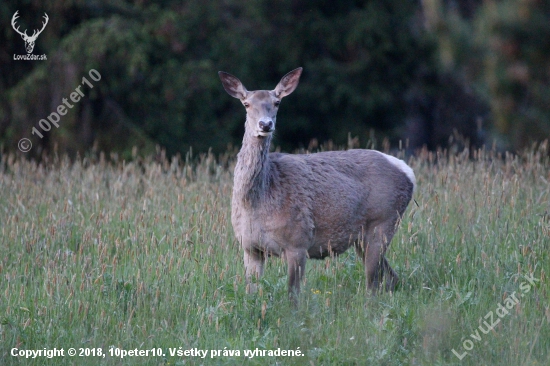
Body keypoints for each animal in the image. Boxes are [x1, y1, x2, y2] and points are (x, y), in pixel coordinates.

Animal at [220, 67, 418, 304]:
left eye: (277, 102)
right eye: (246, 104)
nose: (265, 125)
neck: (257, 202)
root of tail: (408, 172)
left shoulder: (298, 241)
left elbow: (293, 296)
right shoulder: (250, 248)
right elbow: (251, 293)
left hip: (383, 222)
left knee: (373, 284)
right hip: (363, 238)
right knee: (391, 278)